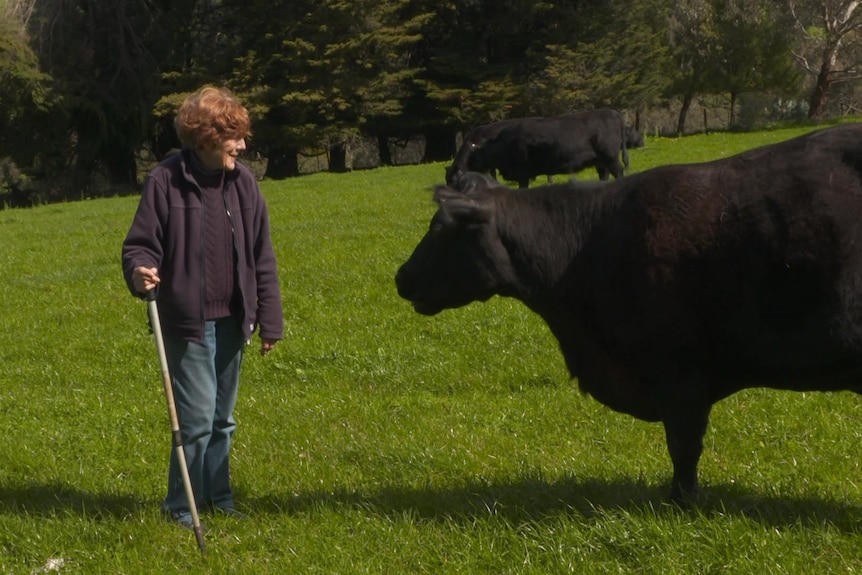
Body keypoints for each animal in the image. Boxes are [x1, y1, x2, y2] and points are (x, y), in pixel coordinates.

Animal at [448, 108, 632, 189]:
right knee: (604, 174)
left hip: (610, 156)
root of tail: (611, 111)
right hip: (600, 160)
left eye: (452, 181)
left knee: (618, 171)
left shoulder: (522, 173)